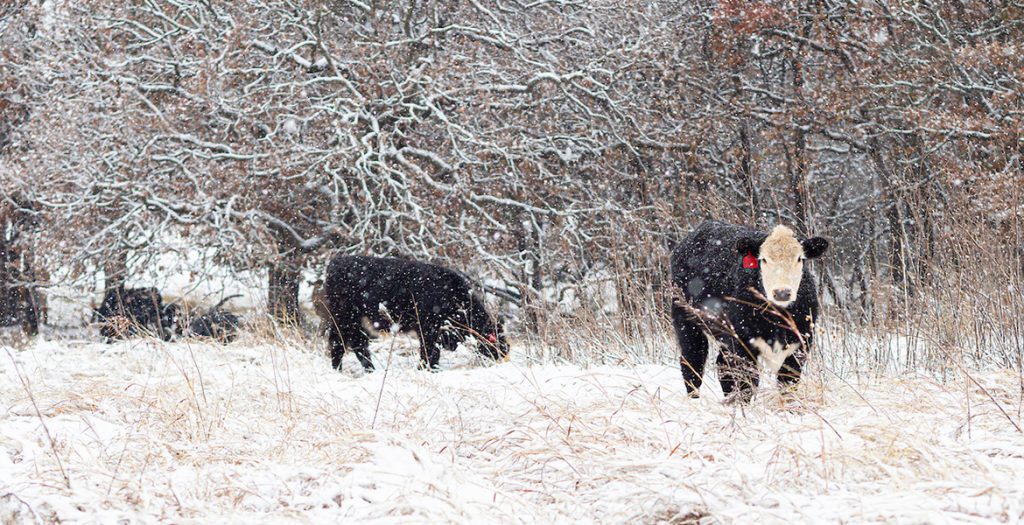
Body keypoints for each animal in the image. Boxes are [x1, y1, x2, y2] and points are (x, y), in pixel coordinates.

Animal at [321, 255, 510, 371]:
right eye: (494, 339)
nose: (504, 354)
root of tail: (335, 263)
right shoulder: (428, 330)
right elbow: (430, 352)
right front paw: (426, 369)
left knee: (357, 345)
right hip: (344, 320)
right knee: (341, 344)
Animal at [670, 221, 829, 402]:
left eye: (800, 259)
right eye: (764, 259)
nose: (782, 292)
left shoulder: (800, 344)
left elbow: (788, 383)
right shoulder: (743, 343)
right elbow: (748, 383)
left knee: (722, 365)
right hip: (685, 318)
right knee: (693, 361)